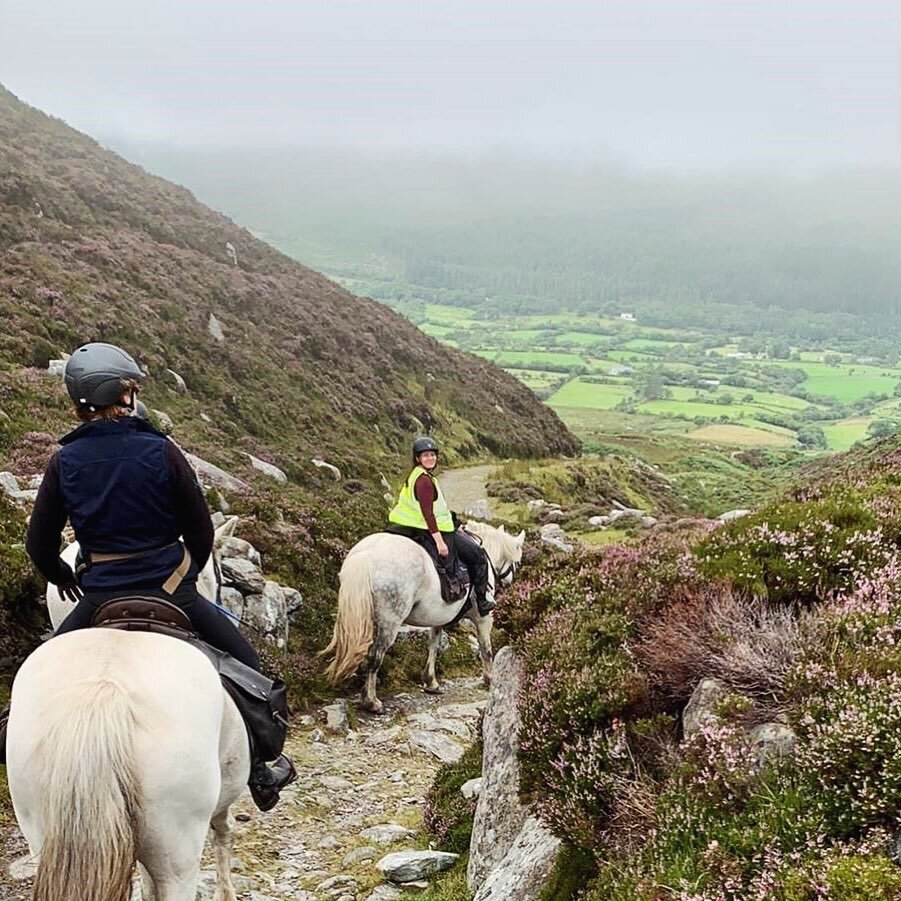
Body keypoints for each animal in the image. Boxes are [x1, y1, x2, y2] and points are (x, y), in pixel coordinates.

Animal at [324, 520, 524, 712]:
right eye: (518, 562)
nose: (508, 584)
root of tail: (365, 555)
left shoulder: (439, 617)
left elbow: (434, 645)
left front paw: (430, 681)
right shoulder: (483, 618)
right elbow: (486, 649)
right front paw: (489, 679)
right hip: (390, 622)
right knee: (375, 656)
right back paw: (371, 701)